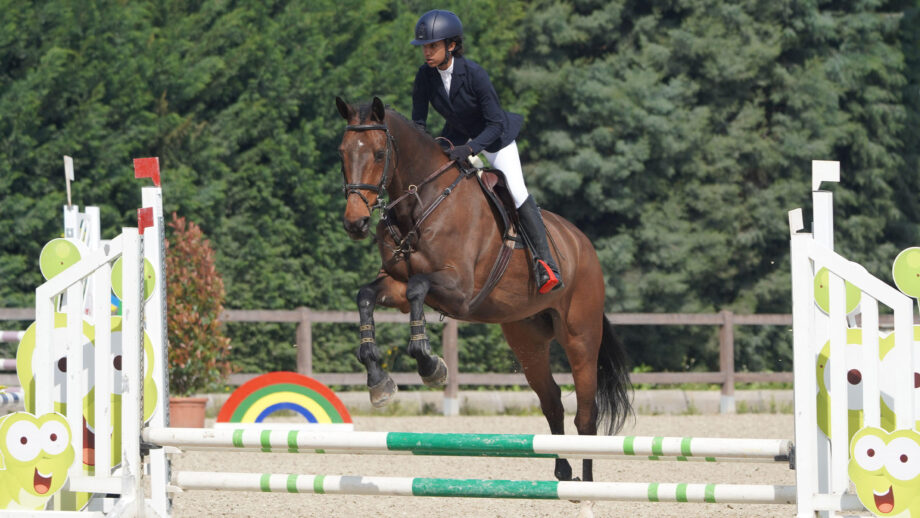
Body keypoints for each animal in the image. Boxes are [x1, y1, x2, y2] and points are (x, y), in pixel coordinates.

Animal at [335, 96, 632, 483]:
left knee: (586, 414)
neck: (420, 204)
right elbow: (367, 295)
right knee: (551, 400)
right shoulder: (395, 283)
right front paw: (378, 380)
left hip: (580, 336)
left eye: (380, 153)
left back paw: (586, 481)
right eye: (342, 152)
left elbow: (417, 288)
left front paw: (430, 365)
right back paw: (563, 471)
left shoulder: (459, 290)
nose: (355, 223)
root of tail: (582, 244)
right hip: (527, 339)